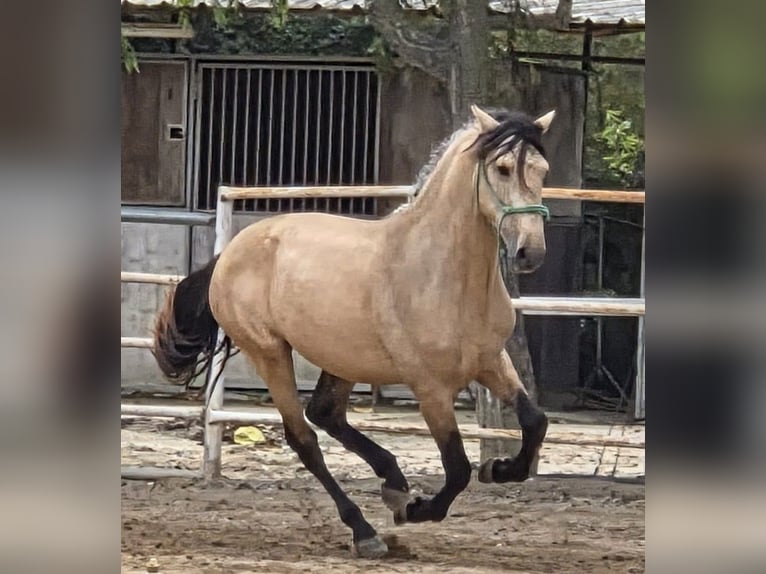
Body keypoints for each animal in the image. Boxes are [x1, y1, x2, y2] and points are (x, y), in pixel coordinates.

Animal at [153, 105, 555, 558]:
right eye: (502, 168)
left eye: (542, 170)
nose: (530, 253)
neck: (442, 274)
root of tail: (233, 250)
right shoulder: (430, 387)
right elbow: (456, 469)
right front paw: (415, 509)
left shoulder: (490, 362)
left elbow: (534, 421)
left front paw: (498, 468)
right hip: (268, 352)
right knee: (304, 436)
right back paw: (367, 531)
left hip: (343, 358)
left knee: (325, 413)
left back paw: (393, 483)